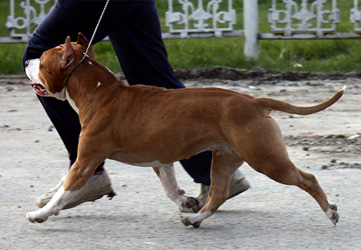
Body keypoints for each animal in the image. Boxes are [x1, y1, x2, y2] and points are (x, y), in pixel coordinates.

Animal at [24, 33, 340, 229]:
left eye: (42, 59)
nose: (26, 60)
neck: (100, 92)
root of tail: (254, 101)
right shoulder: (160, 159)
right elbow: (170, 187)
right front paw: (187, 202)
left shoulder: (84, 162)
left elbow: (62, 193)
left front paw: (40, 214)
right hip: (225, 158)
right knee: (219, 193)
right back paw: (196, 219)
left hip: (266, 158)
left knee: (307, 178)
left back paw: (330, 212)